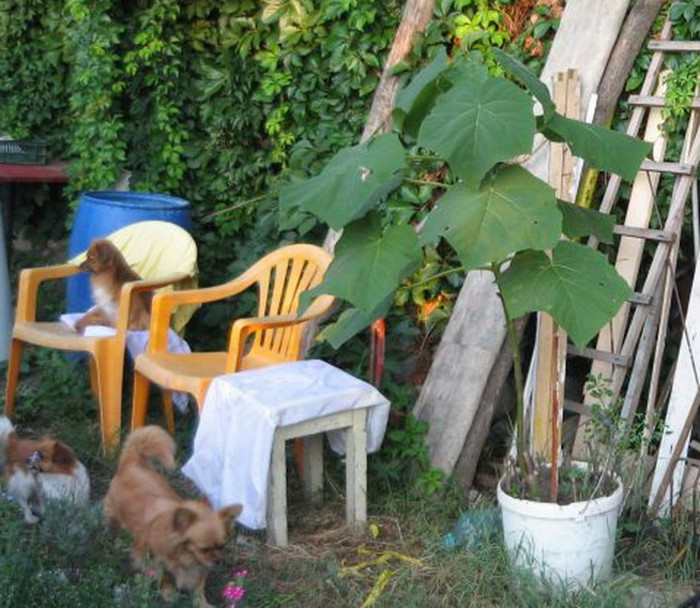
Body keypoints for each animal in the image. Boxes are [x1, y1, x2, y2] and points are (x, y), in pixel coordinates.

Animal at [104, 428, 243, 608]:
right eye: (204, 549)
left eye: (222, 547)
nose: (218, 561)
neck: (187, 557)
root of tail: (133, 463)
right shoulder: (157, 563)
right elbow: (167, 579)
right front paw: (169, 596)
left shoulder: (201, 568)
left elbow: (199, 587)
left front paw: (202, 603)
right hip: (113, 518)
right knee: (115, 531)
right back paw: (117, 544)